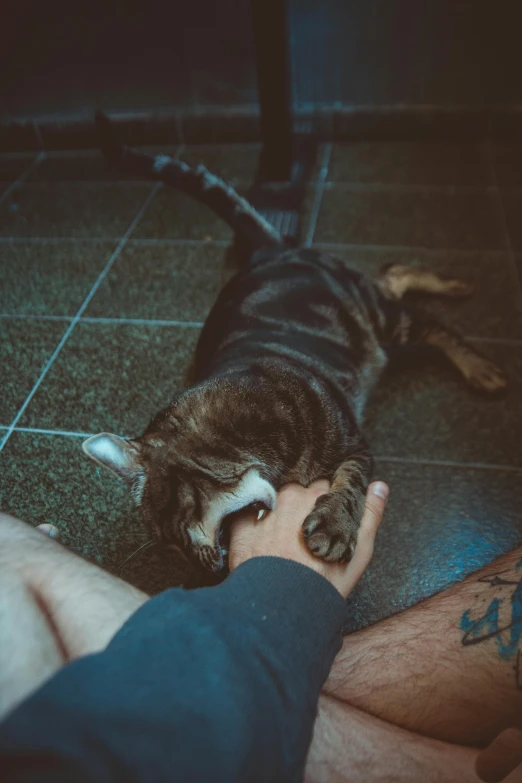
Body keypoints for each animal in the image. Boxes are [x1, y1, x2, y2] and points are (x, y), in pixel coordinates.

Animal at [83, 112, 506, 576]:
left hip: (384, 323)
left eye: (173, 530)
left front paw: (335, 527)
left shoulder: (356, 447)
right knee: (391, 274)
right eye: (167, 546)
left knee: (425, 316)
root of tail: (272, 250)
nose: (204, 570)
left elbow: (350, 485)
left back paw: (477, 355)